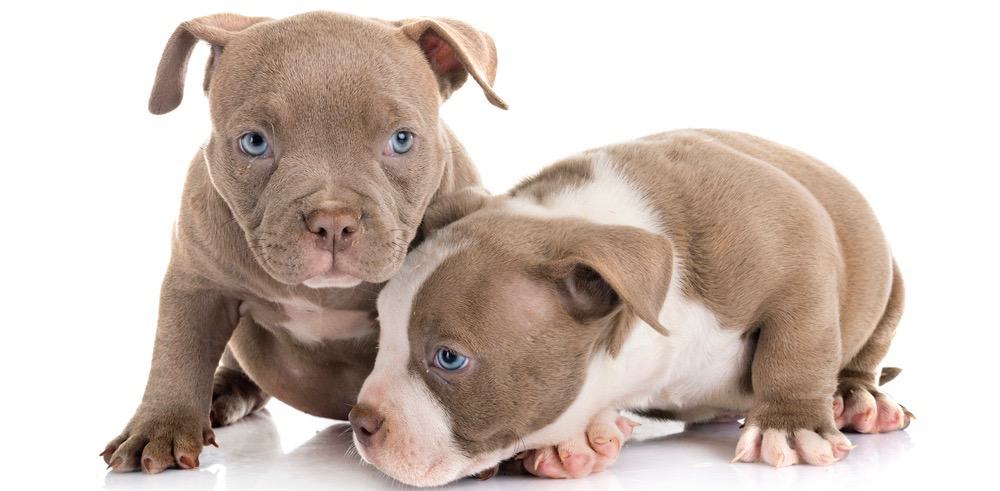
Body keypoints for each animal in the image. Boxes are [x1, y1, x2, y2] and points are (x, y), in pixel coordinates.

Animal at [103, 10, 508, 472]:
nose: (333, 222)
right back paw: (222, 392)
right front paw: (160, 428)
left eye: (402, 140)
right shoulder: (197, 281)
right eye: (254, 142)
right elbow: (178, 351)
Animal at [354, 129, 916, 486]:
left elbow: (797, 344)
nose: (361, 423)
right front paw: (570, 443)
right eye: (382, 337)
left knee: (860, 354)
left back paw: (858, 400)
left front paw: (792, 427)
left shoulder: (799, 259)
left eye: (449, 359)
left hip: (890, 287)